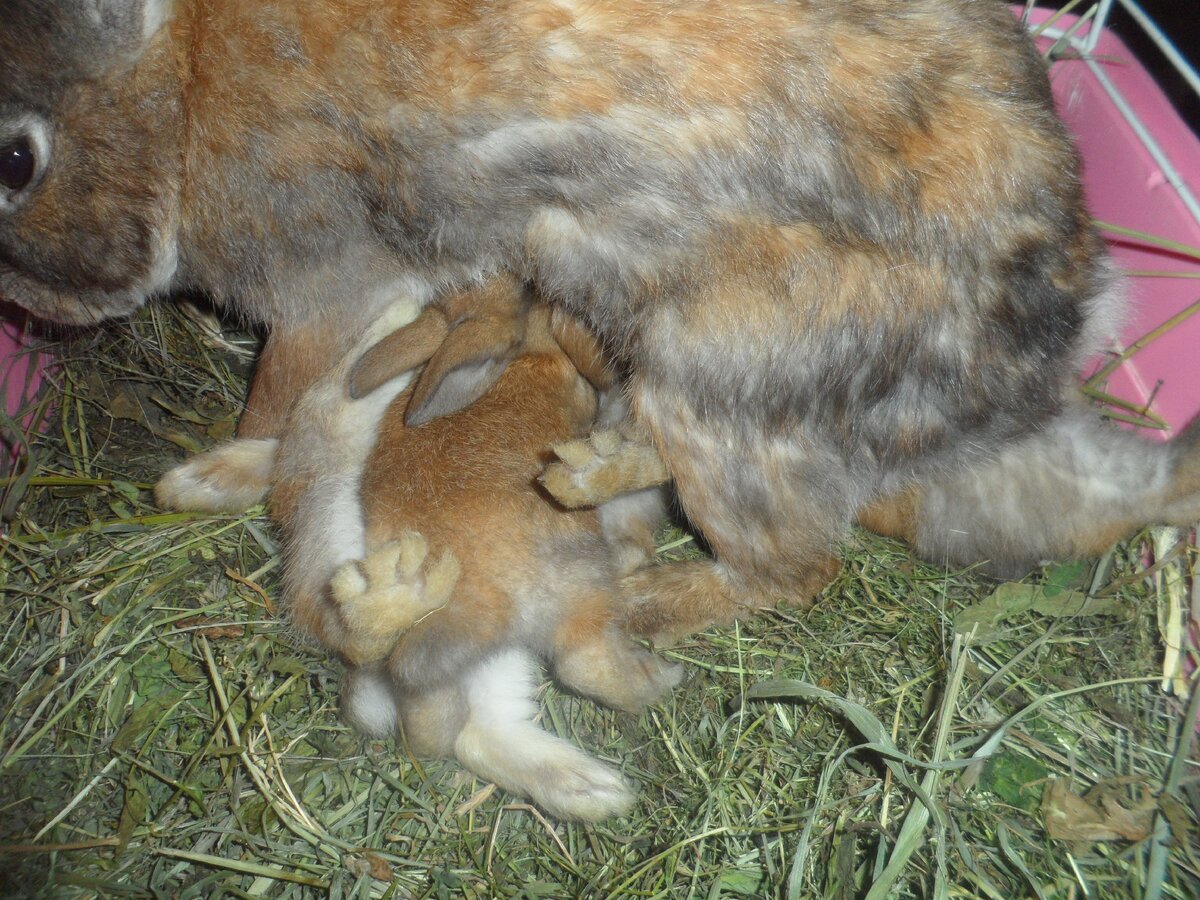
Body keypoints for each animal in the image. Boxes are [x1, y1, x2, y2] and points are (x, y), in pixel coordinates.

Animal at [4, 1, 1190, 643]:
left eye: (15, 159)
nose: (37, 310)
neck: (179, 76)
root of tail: (1033, 364)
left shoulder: (328, 283)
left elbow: (286, 404)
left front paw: (203, 476)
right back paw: (586, 481)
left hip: (721, 378)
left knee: (798, 566)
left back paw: (638, 592)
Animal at [162, 277, 676, 825]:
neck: (525, 360)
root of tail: (488, 600)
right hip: (573, 585)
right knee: (575, 663)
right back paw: (654, 685)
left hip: (482, 654)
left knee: (451, 724)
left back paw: (588, 788)